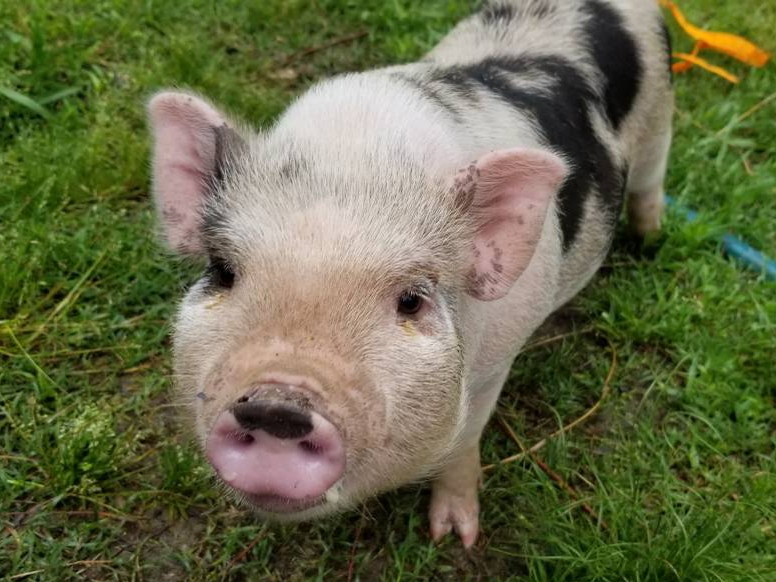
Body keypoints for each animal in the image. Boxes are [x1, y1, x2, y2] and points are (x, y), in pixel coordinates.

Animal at [147, 0, 672, 547]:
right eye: (223, 271)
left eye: (411, 300)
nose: (277, 403)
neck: (357, 154)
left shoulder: (496, 360)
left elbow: (465, 442)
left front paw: (453, 538)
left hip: (661, 121)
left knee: (651, 181)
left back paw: (651, 239)